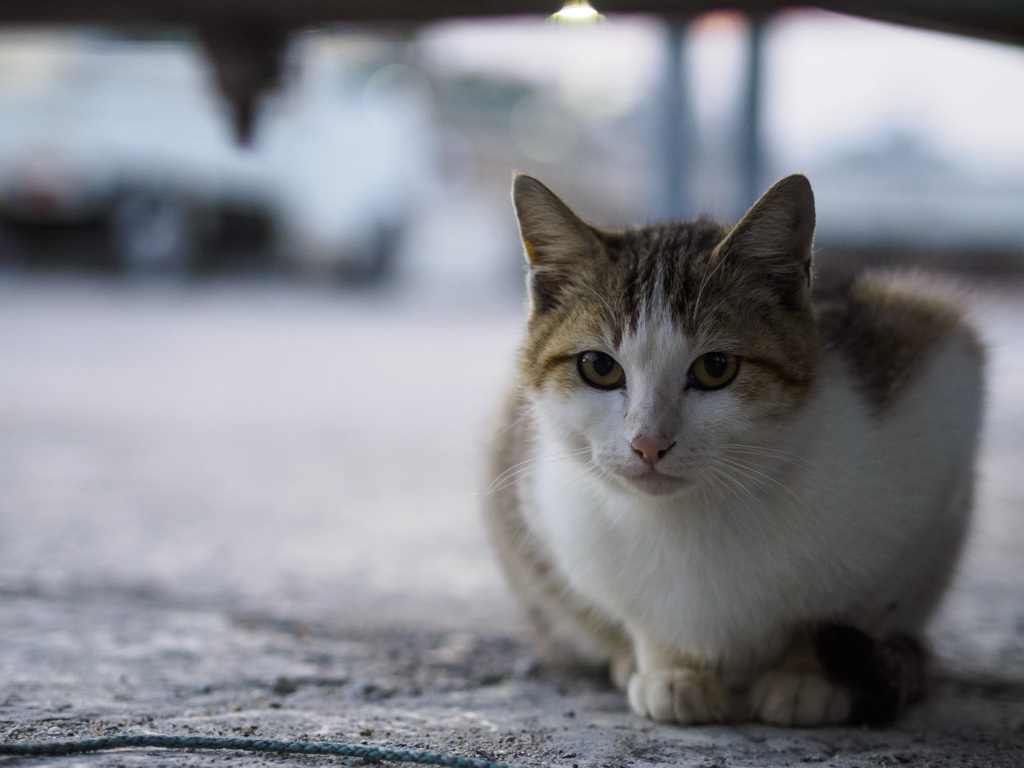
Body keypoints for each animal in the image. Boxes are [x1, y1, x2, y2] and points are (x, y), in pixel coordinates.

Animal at [483, 173, 987, 729]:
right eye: (599, 366)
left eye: (715, 367)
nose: (649, 442)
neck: (693, 518)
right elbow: (634, 611)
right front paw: (670, 667)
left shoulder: (938, 380)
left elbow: (860, 602)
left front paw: (807, 675)